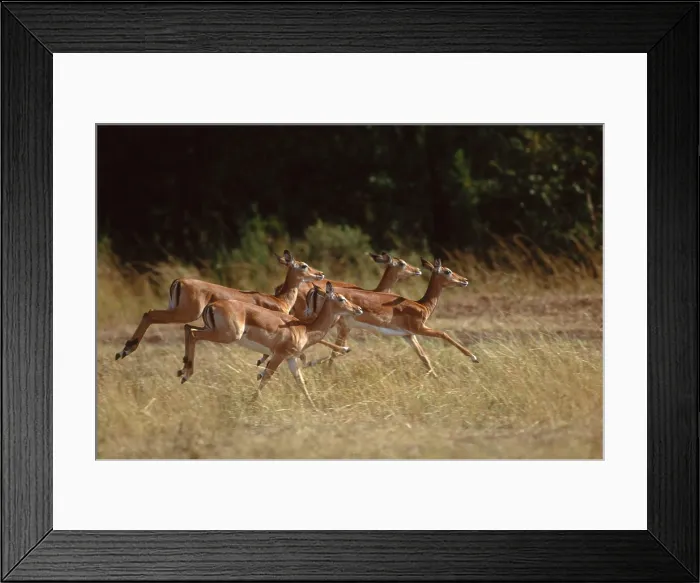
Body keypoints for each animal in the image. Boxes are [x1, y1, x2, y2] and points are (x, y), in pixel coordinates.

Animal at [115, 250, 324, 360]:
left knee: (152, 315)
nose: (320, 273)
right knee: (150, 314)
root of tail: (178, 281)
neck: (279, 299)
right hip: (186, 313)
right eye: (304, 265)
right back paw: (126, 349)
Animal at [177, 282, 363, 410]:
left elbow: (300, 382)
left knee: (188, 328)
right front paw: (250, 404)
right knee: (193, 334)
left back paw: (183, 371)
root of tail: (211, 305)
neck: (304, 329)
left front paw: (315, 407)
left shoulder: (291, 358)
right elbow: (266, 378)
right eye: (341, 298)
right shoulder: (279, 355)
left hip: (212, 330)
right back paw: (186, 374)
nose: (358, 309)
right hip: (226, 336)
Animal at [300, 257, 479, 375]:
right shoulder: (419, 328)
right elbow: (444, 334)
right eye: (448, 271)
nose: (464, 280)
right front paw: (474, 357)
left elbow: (424, 357)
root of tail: (316, 290)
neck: (422, 306)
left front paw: (435, 378)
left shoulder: (408, 335)